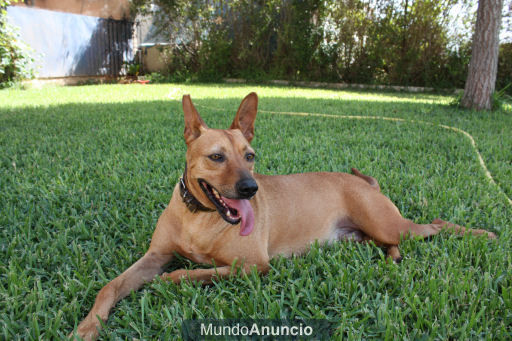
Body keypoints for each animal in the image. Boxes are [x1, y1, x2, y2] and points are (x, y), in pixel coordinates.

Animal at [72, 92, 496, 338]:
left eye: (250, 156)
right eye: (216, 157)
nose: (250, 189)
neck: (201, 217)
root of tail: (365, 182)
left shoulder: (252, 267)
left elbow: (187, 272)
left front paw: (169, 281)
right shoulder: (153, 257)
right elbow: (110, 286)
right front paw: (87, 327)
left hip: (392, 224)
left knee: (435, 225)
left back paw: (482, 234)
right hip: (366, 235)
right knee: (387, 243)